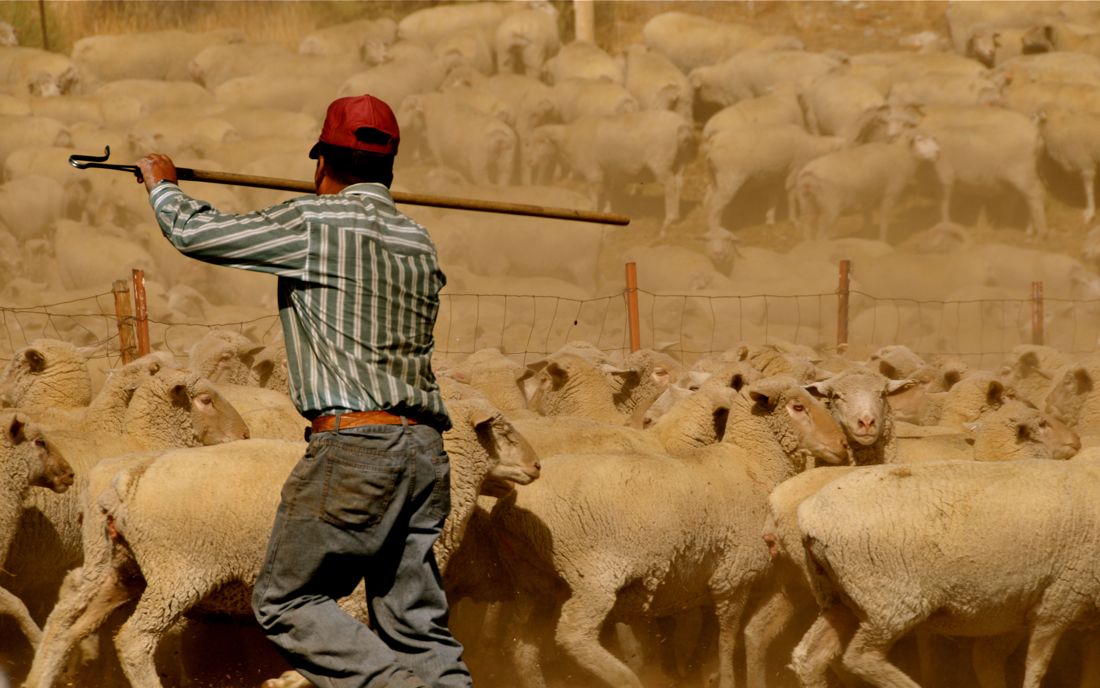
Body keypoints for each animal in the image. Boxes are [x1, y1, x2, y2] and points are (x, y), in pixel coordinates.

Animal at [25, 396, 541, 686]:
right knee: (134, 640)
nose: (537, 466)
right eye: (504, 430)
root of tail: (129, 479)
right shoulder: (354, 592)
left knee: (65, 620)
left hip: (118, 567)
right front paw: (290, 681)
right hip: (179, 570)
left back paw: (39, 677)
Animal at [486, 372, 844, 686]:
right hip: (592, 575)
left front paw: (697, 671)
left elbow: (707, 633)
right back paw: (626, 678)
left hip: (536, 585)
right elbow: (727, 638)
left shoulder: (704, 576)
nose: (842, 443)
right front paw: (722, 678)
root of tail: (508, 507)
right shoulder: (734, 574)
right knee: (573, 634)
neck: (752, 462)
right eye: (797, 407)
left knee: (521, 647)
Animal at [525, 111, 695, 231]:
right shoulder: (605, 172)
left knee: (670, 186)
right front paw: (607, 215)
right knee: (678, 184)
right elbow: (607, 194)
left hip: (660, 161)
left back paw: (668, 220)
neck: (569, 139)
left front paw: (593, 214)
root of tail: (681, 126)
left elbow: (594, 196)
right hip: (680, 161)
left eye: (539, 143)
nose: (529, 162)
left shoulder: (593, 171)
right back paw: (675, 219)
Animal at [792, 455, 1100, 686]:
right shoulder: (1060, 600)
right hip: (889, 599)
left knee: (809, 657)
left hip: (841, 597)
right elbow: (1036, 667)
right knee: (862, 657)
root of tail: (809, 516)